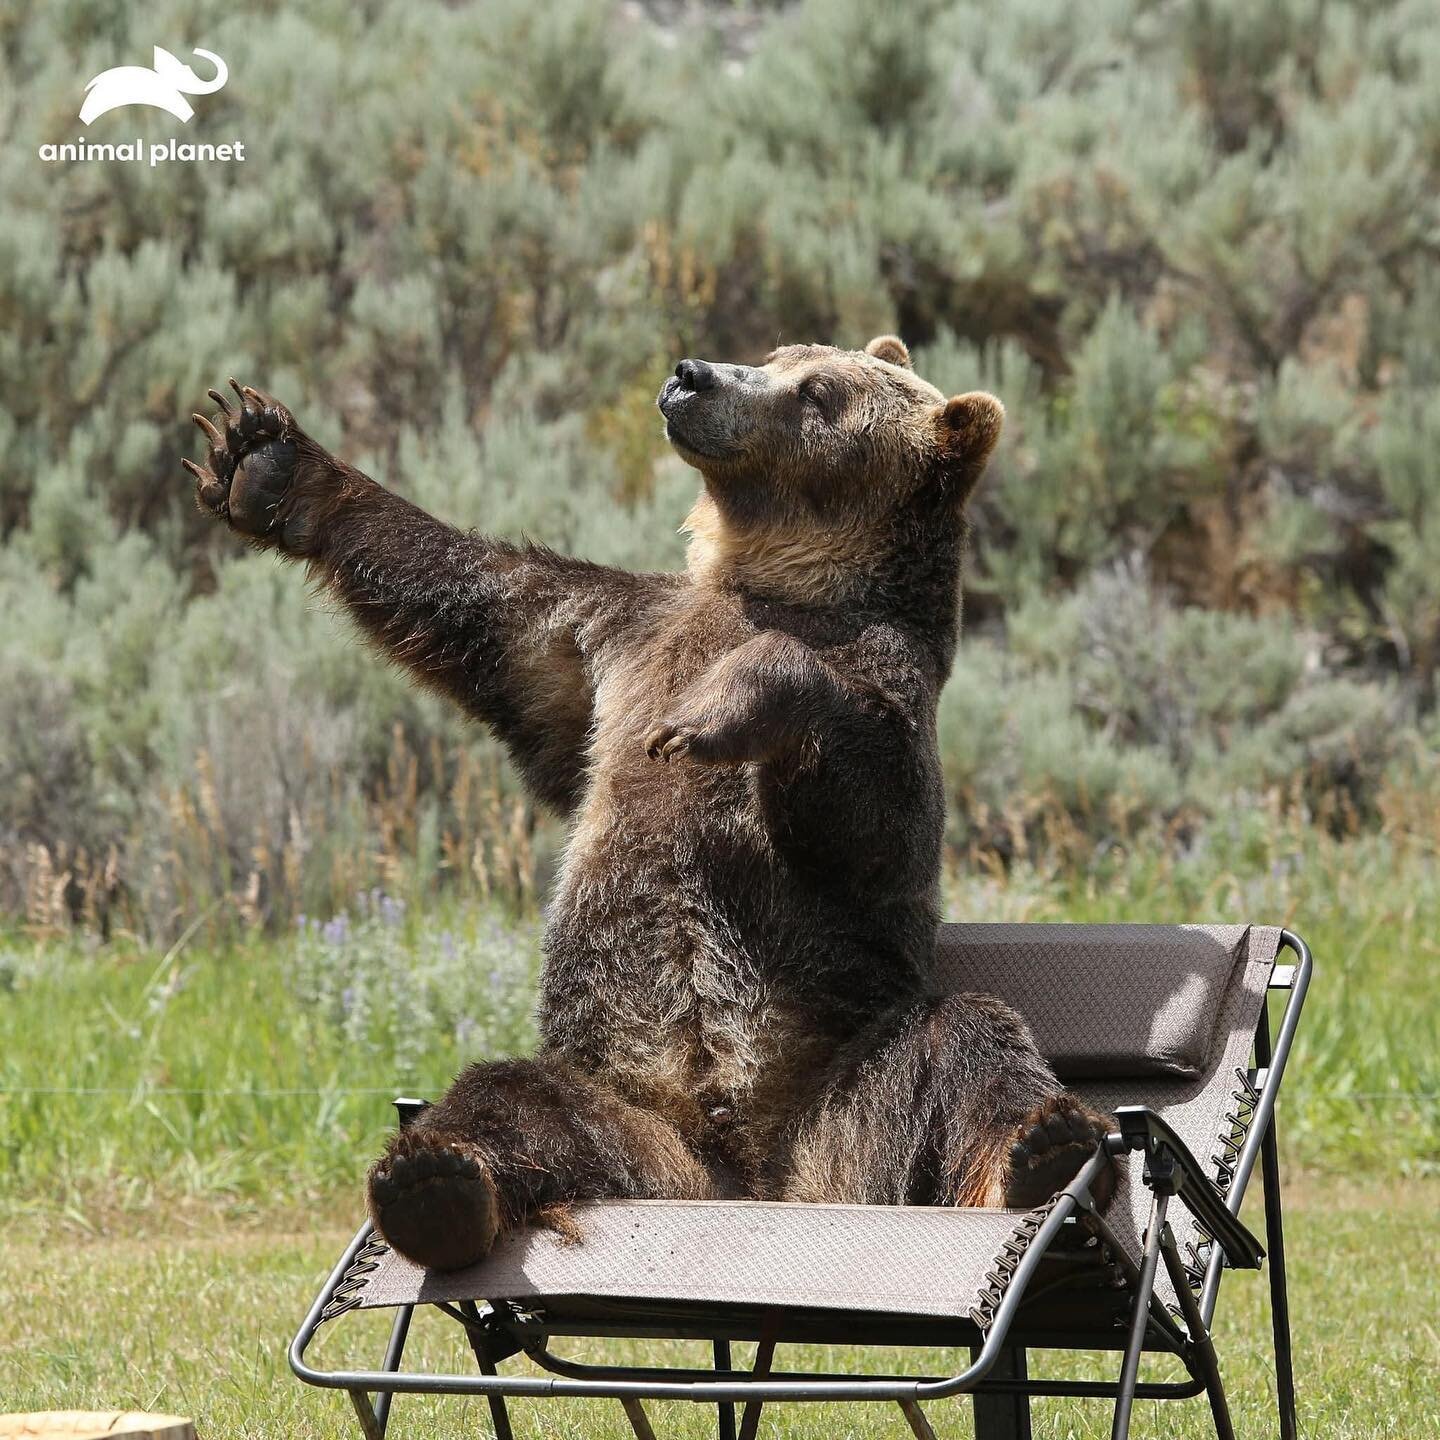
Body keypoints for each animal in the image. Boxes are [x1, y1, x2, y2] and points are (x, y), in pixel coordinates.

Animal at [182, 339, 1111, 1272]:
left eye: (819, 393)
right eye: (779, 354)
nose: (694, 374)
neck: (778, 578)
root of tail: (744, 1185)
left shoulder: (889, 678)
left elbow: (877, 823)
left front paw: (722, 708)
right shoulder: (608, 641)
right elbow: (479, 601)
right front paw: (263, 458)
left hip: (851, 1103)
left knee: (968, 1042)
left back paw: (1044, 1150)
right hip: (623, 1120)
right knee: (504, 1097)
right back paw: (434, 1186)